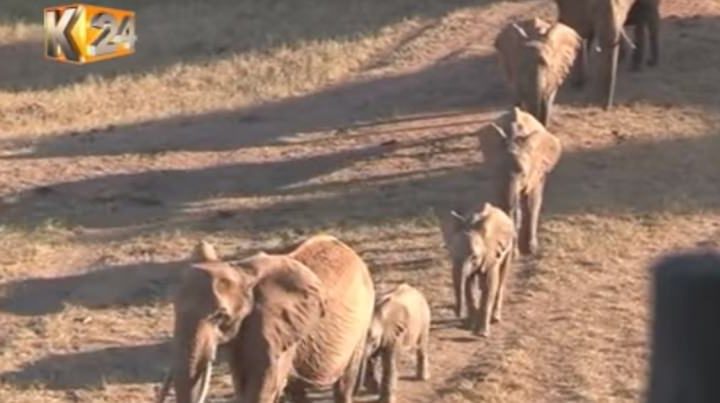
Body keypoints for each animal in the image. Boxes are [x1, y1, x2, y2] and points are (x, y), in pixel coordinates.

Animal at [159, 235, 376, 403]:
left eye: (220, 316)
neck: (242, 272)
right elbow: (243, 386)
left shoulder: (274, 328)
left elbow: (263, 389)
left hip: (362, 323)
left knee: (344, 384)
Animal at [436, 202, 516, 338]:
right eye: (451, 253)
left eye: (474, 256)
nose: (458, 314)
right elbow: (468, 283)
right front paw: (470, 326)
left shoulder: (492, 253)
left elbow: (490, 285)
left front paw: (482, 334)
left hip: (510, 245)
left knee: (502, 277)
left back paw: (495, 318)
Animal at [490, 107, 564, 256]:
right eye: (497, 170)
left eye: (523, 174)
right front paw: (514, 254)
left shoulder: (537, 169)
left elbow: (533, 203)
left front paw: (532, 249)